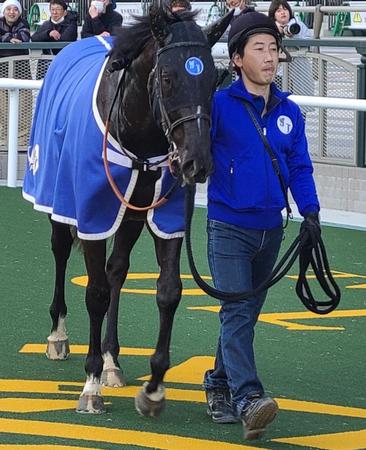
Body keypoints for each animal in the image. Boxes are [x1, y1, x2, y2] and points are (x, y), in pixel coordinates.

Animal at [22, 4, 232, 414]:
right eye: (166, 77)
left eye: (214, 80)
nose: (197, 163)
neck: (138, 140)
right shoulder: (91, 215)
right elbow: (96, 293)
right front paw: (90, 386)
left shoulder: (165, 217)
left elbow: (168, 291)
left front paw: (153, 387)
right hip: (58, 199)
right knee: (60, 251)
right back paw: (58, 336)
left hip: (131, 215)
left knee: (117, 270)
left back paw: (111, 361)